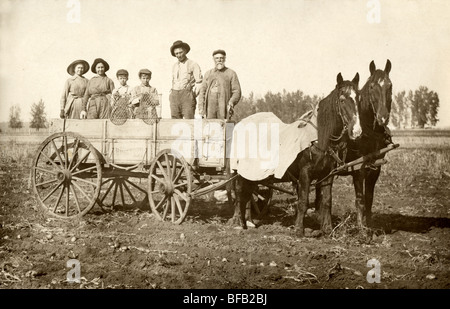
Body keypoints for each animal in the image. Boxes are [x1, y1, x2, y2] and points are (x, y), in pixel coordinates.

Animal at [232, 72, 362, 236]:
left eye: (358, 98)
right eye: (342, 99)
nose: (356, 132)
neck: (318, 138)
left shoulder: (328, 174)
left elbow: (327, 201)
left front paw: (328, 229)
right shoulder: (305, 173)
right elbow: (303, 201)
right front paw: (299, 229)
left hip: (255, 173)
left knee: (249, 193)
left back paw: (248, 221)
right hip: (241, 171)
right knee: (239, 193)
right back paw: (238, 222)